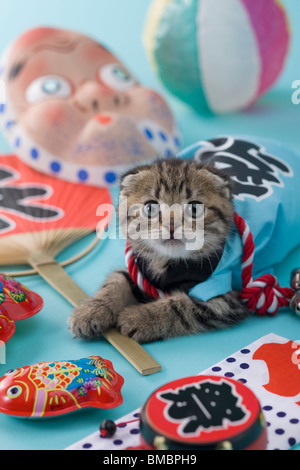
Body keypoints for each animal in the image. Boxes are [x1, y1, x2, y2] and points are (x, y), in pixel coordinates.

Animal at [69, 158, 250, 342]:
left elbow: (181, 307)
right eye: (150, 208)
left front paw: (139, 317)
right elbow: (115, 281)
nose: (171, 226)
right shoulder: (139, 271)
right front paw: (92, 310)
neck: (167, 262)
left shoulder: (223, 300)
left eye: (194, 208)